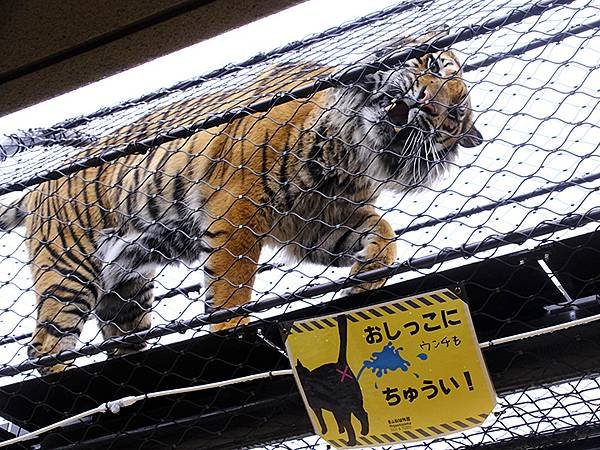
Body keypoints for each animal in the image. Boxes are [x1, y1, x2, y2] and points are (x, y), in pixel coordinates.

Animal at [0, 27, 480, 372]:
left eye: (454, 114)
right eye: (435, 66)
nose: (427, 103)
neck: (353, 152)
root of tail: (36, 189)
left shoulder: (313, 222)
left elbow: (384, 231)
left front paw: (365, 279)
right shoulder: (239, 202)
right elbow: (232, 282)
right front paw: (232, 328)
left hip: (125, 294)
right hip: (70, 270)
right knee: (45, 347)